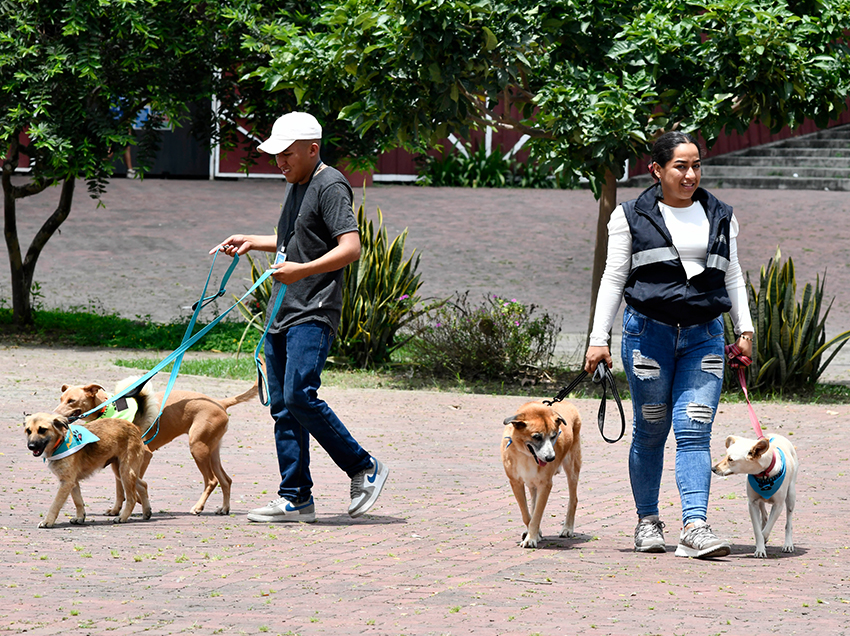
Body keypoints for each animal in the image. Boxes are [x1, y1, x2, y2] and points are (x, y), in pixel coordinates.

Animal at [54, 377, 257, 516]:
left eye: (72, 400)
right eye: (61, 398)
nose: (55, 415)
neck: (107, 408)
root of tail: (221, 403)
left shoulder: (143, 455)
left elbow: (134, 484)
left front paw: (138, 502)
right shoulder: (118, 461)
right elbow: (120, 488)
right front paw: (116, 509)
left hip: (198, 449)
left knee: (212, 480)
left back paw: (198, 507)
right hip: (212, 451)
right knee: (226, 480)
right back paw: (224, 508)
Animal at [501, 400, 582, 548]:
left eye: (554, 435)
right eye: (537, 437)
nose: (551, 458)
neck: (526, 455)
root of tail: (566, 402)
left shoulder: (545, 484)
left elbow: (537, 514)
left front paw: (531, 538)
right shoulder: (516, 483)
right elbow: (527, 515)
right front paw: (535, 534)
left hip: (572, 467)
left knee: (573, 499)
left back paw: (567, 528)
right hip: (532, 483)